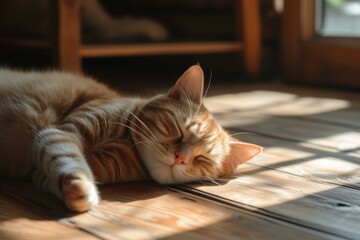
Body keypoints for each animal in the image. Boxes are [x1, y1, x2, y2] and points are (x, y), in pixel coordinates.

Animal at [0, 65, 262, 212]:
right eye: (179, 130)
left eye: (202, 159)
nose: (180, 158)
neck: (126, 141)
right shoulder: (62, 133)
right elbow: (68, 157)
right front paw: (81, 185)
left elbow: (49, 172)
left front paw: (67, 189)